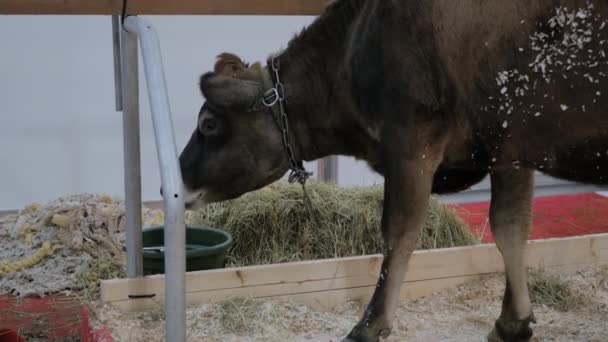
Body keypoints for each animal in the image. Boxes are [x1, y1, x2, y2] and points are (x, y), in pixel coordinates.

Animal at [176, 0, 608, 340]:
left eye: (208, 124)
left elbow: (398, 232)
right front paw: (511, 323)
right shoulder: (508, 146)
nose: (175, 183)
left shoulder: (411, 138)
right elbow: (511, 226)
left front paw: (369, 325)